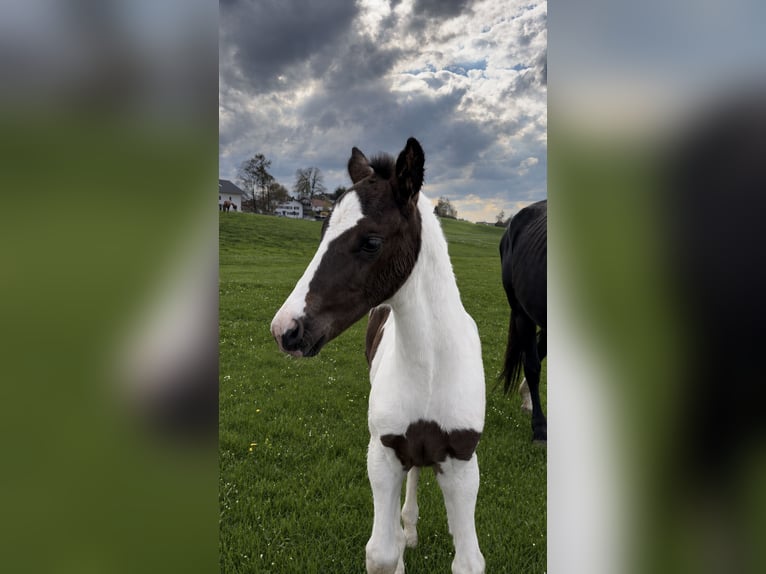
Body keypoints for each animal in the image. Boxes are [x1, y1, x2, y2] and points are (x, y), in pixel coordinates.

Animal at [271, 138, 486, 574]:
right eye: (321, 229)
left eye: (371, 242)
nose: (286, 330)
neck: (431, 367)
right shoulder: (383, 452)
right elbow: (383, 553)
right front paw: (401, 542)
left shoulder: (461, 460)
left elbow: (468, 561)